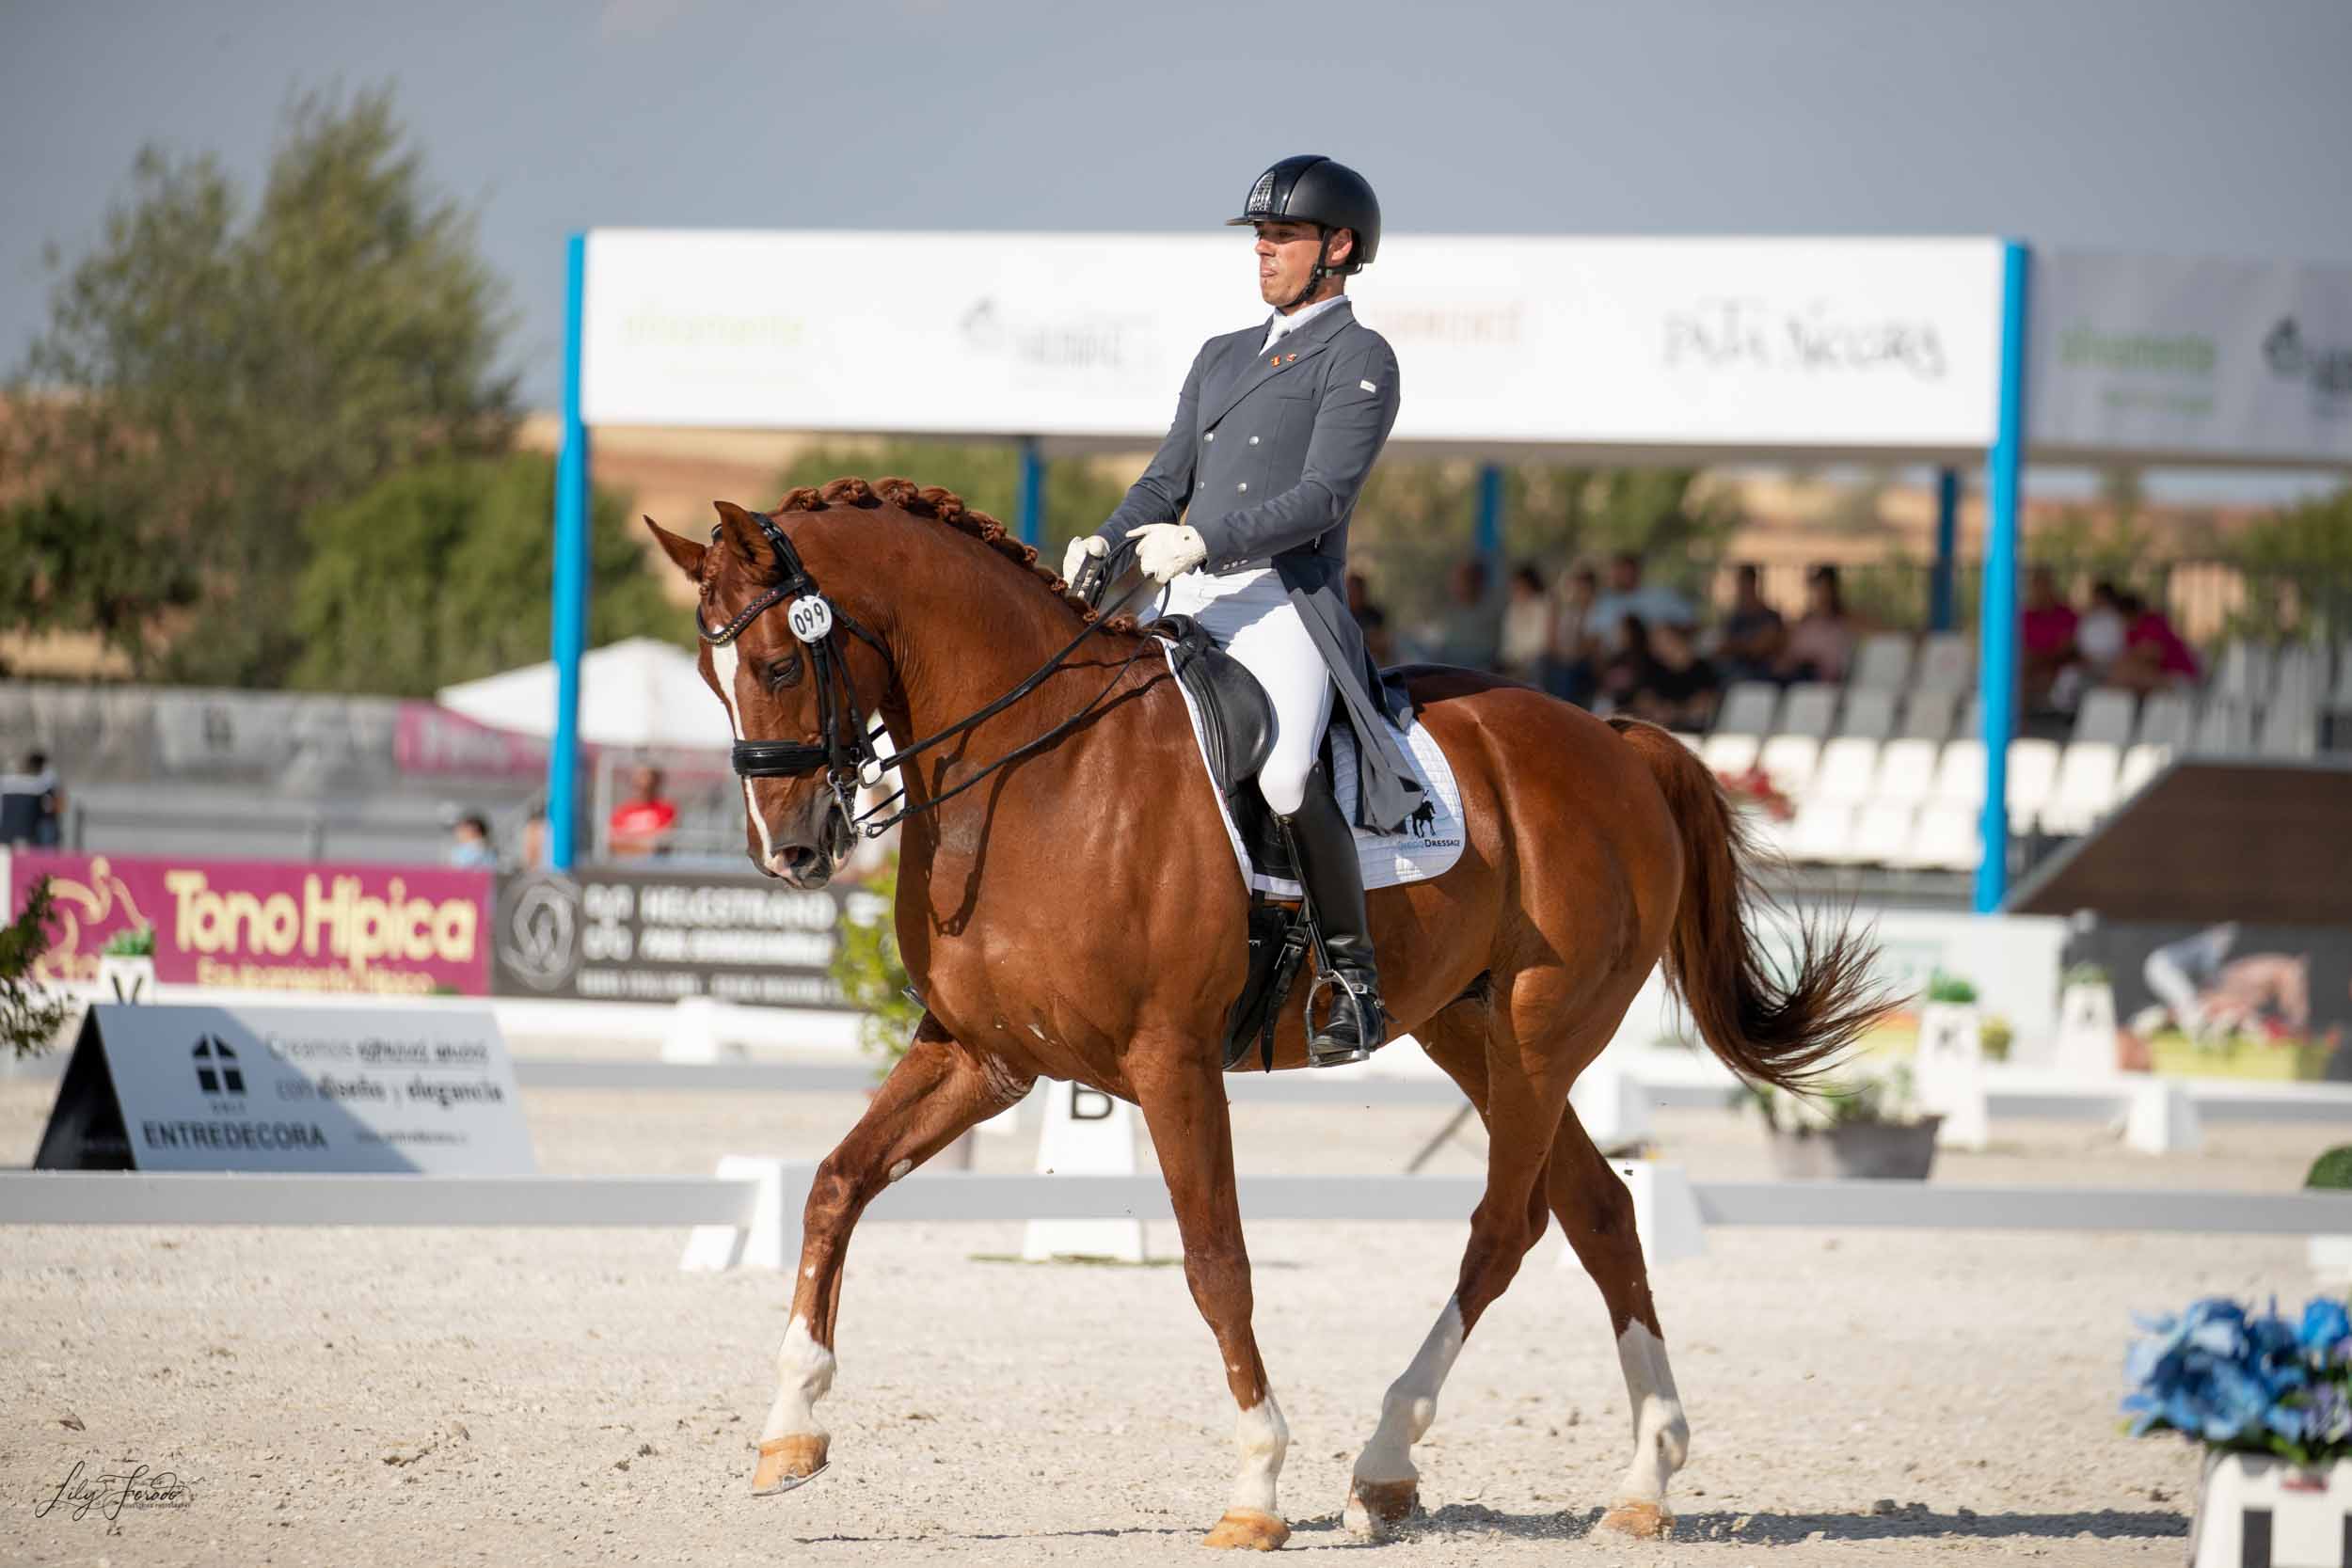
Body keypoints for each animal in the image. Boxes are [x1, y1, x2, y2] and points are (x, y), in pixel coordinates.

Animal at [640, 482, 1872, 1560]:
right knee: (1600, 1211)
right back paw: (1640, 1483)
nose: (791, 850)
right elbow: (836, 1183)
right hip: (1471, 1033)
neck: (1039, 771)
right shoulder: (982, 1055)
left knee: (1505, 1225)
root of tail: (1617, 740)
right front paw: (790, 1433)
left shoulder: (1171, 1063)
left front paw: (1255, 1489)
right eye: (708, 674)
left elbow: (1215, 1261)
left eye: (779, 661)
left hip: (1538, 1035)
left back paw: (1384, 1460)